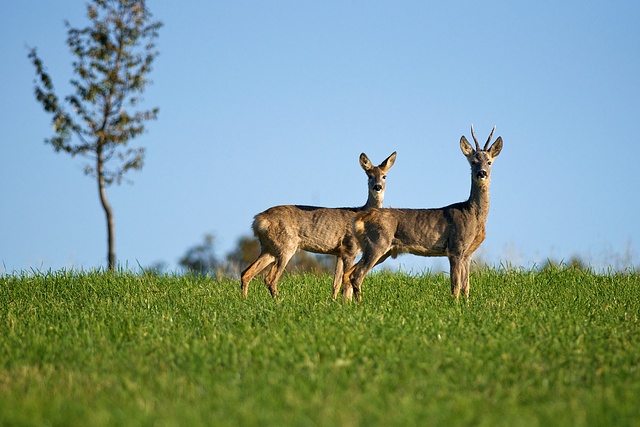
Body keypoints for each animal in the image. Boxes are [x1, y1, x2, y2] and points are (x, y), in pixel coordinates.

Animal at [242, 152, 398, 300]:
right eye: (369, 176)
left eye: (384, 176)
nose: (377, 187)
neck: (361, 213)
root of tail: (258, 220)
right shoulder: (350, 248)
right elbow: (346, 280)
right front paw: (347, 303)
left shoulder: (339, 252)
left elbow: (336, 283)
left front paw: (335, 302)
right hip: (286, 245)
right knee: (270, 278)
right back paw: (279, 302)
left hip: (269, 247)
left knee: (246, 273)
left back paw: (245, 300)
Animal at [342, 125, 502, 302]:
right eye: (473, 162)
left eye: (489, 162)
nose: (482, 173)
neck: (472, 213)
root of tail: (361, 217)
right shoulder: (455, 247)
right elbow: (455, 286)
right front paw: (454, 305)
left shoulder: (467, 253)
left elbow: (466, 287)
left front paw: (466, 304)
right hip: (377, 242)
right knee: (357, 275)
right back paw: (360, 303)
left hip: (379, 248)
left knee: (348, 274)